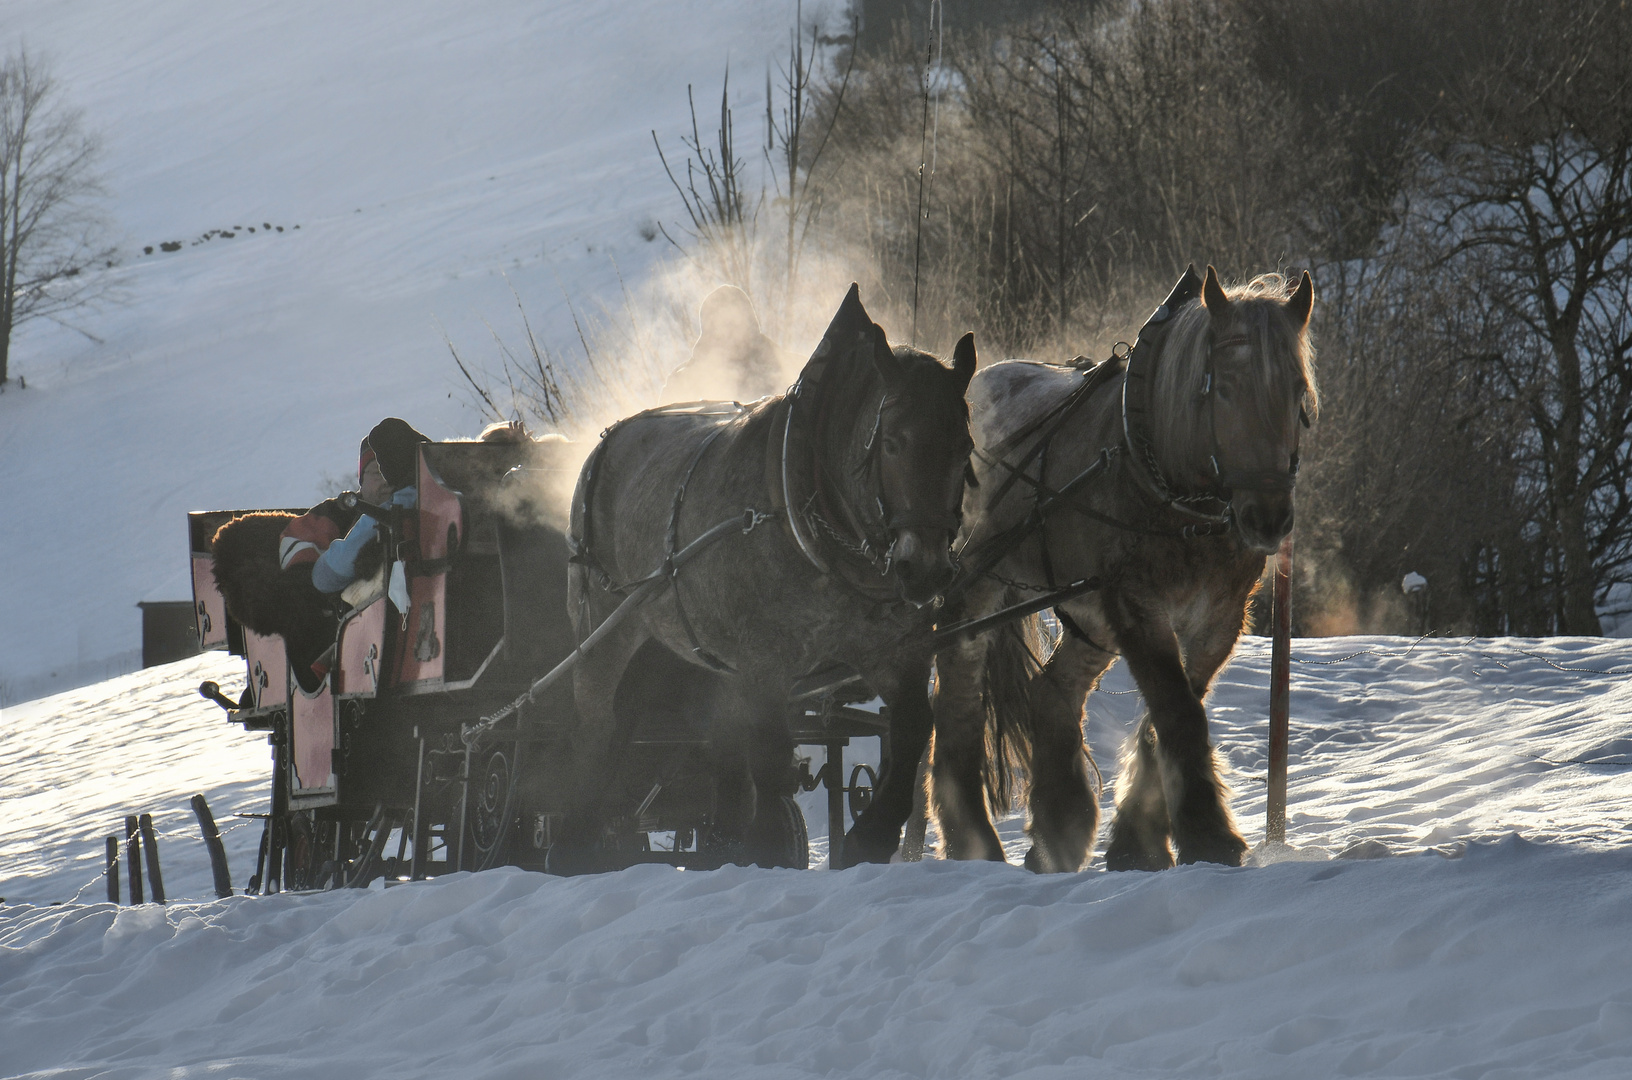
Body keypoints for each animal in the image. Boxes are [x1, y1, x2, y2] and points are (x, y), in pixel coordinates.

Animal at [554, 287, 972, 874]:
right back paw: (578, 841)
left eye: (964, 447)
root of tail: (604, 441)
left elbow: (913, 728)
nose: (926, 568)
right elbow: (772, 757)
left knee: (706, 737)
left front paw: (870, 837)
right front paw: (771, 848)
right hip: (605, 630)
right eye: (892, 442)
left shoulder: (896, 651)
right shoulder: (766, 662)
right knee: (598, 728)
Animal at [848, 265, 1318, 874]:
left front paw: (1139, 840)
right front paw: (1207, 835)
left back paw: (1060, 825)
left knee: (1054, 692)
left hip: (1090, 615)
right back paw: (974, 838)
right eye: (1225, 389)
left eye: (1297, 390)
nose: (1268, 517)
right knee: (957, 696)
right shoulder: (1135, 604)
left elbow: (1172, 712)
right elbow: (1177, 711)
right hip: (975, 584)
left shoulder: (1216, 617)